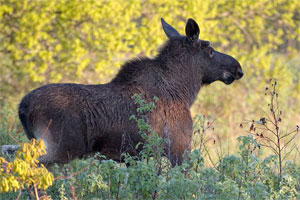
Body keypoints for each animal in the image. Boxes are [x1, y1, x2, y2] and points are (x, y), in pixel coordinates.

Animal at [18, 18, 244, 166]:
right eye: (210, 51)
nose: (238, 68)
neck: (184, 91)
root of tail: (22, 108)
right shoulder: (178, 147)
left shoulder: (134, 156)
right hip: (59, 149)